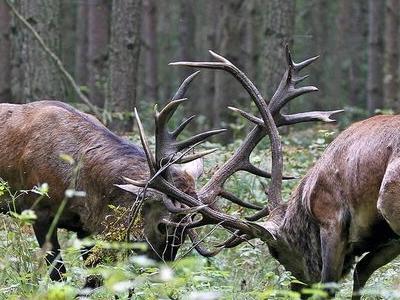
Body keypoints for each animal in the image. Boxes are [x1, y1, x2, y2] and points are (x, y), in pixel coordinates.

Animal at [0, 72, 222, 284]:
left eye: (184, 235)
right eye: (162, 226)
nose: (158, 275)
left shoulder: (86, 227)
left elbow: (93, 278)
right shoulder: (38, 211)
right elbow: (58, 275)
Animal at [129, 47, 400, 298]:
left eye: (275, 251)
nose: (298, 287)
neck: (307, 200)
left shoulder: (331, 217)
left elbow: (330, 285)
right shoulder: (387, 239)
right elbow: (361, 273)